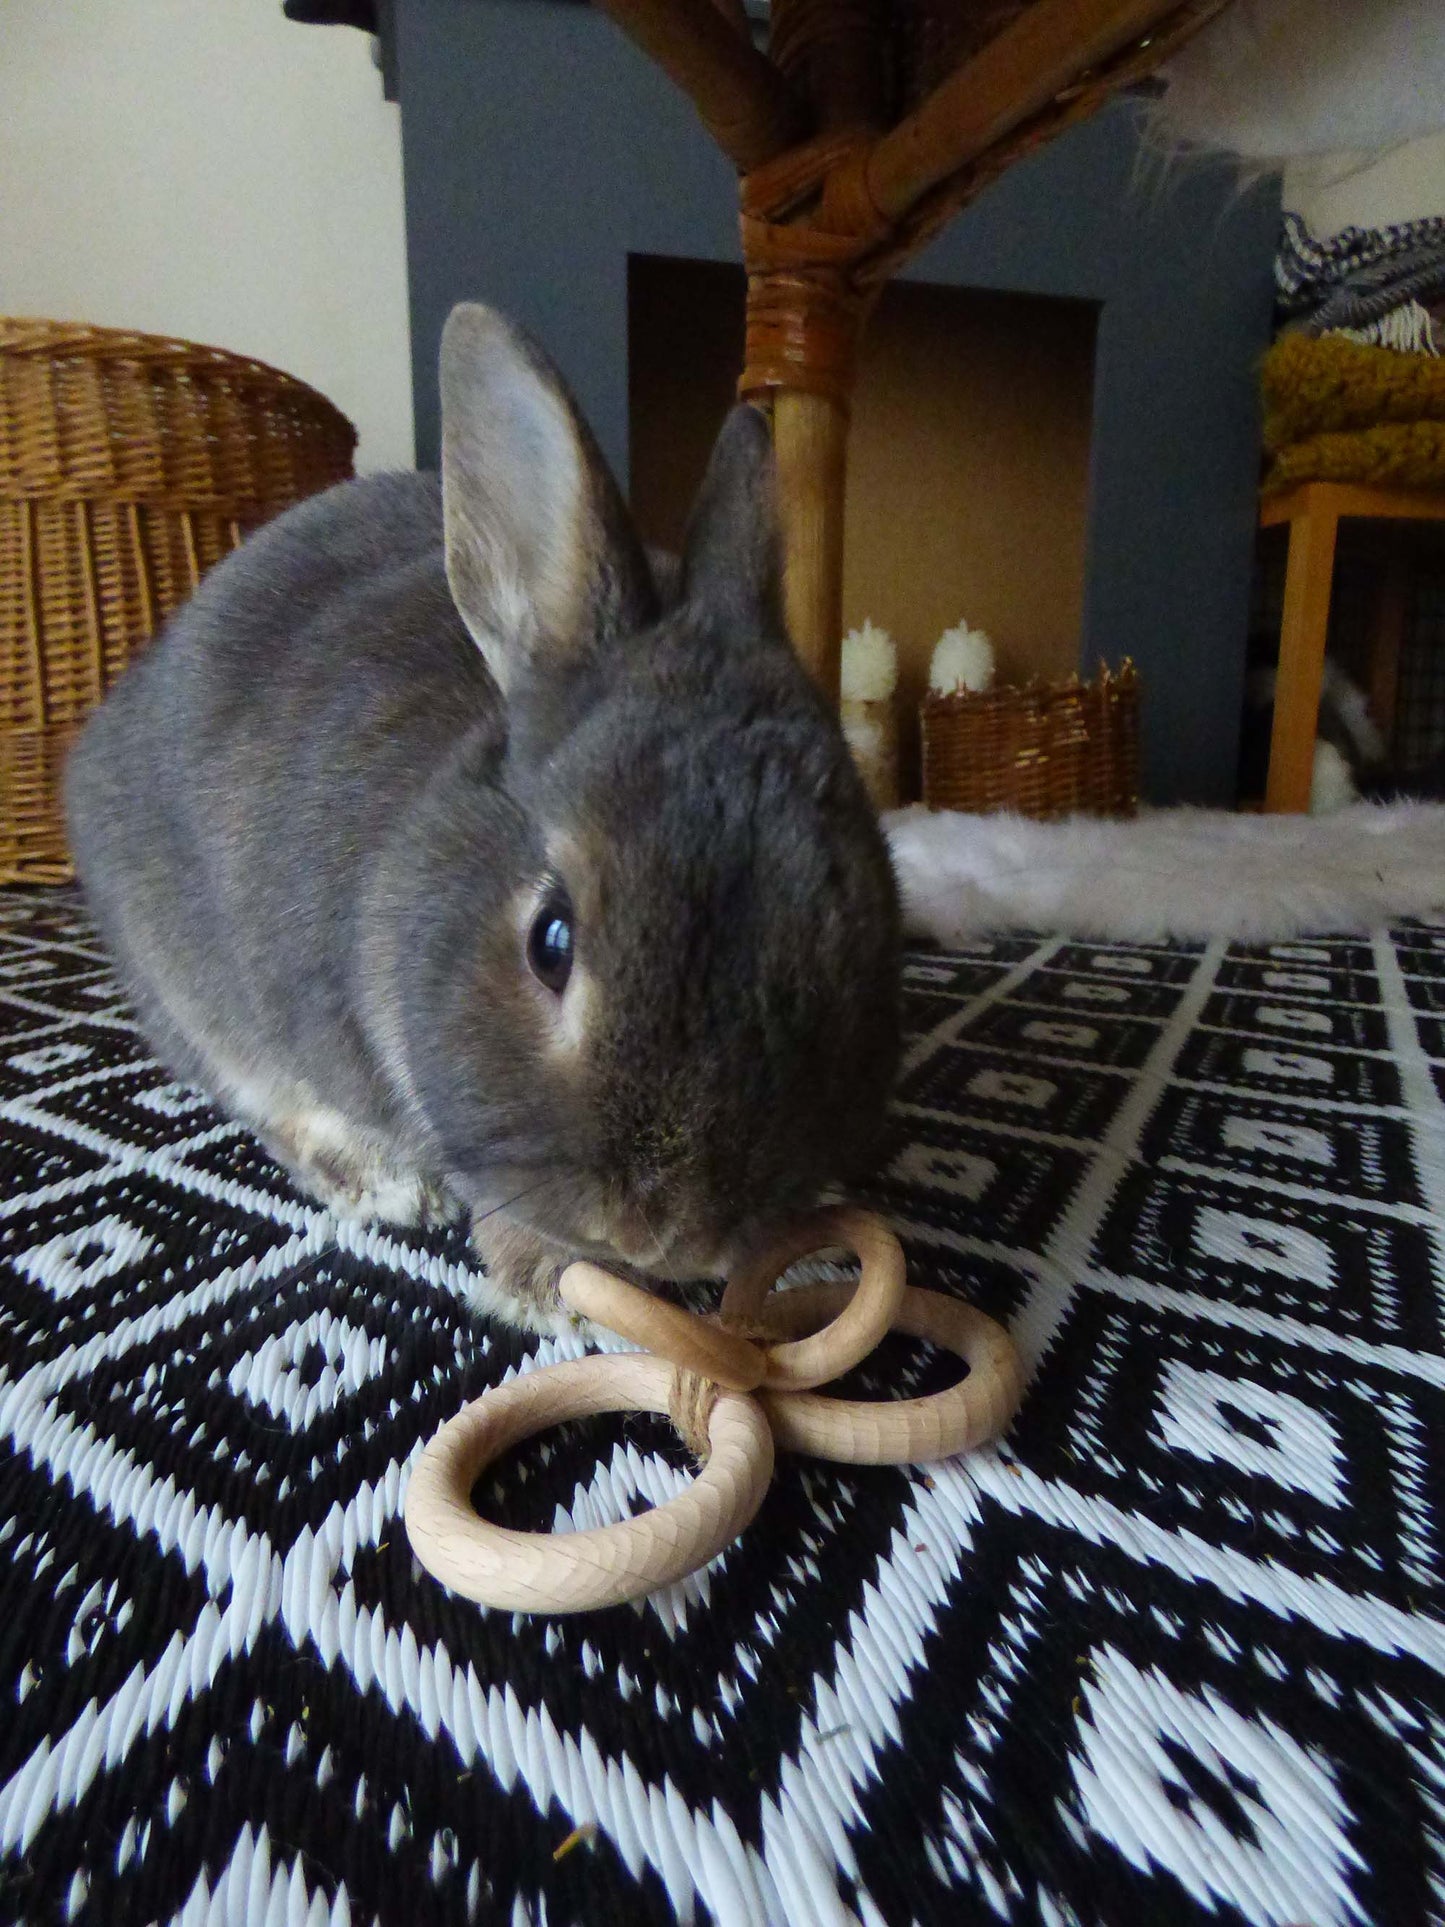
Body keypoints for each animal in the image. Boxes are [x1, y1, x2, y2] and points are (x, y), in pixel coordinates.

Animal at [73, 308, 905, 1333]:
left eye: (855, 946)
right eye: (550, 941)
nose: (661, 1234)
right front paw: (556, 1292)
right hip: (189, 988)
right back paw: (382, 1182)